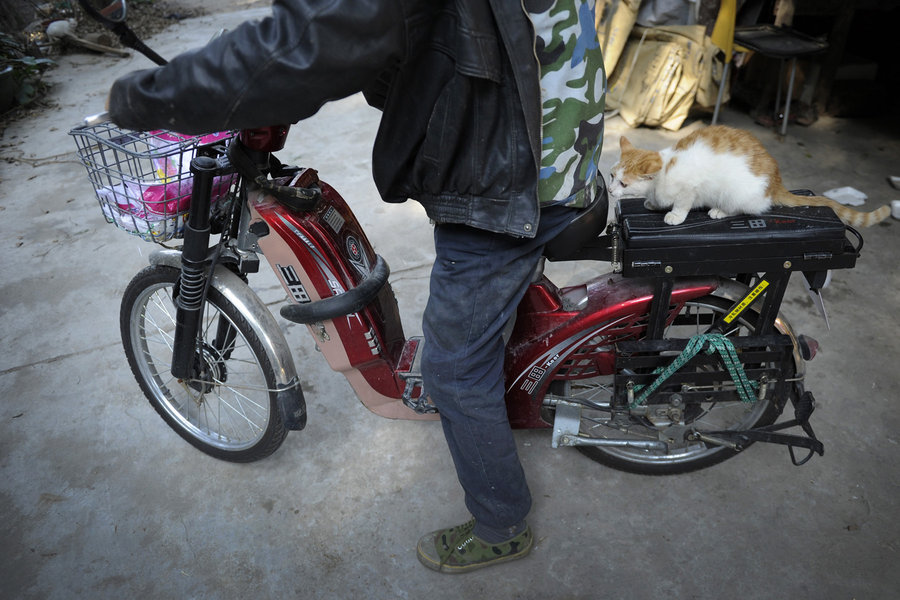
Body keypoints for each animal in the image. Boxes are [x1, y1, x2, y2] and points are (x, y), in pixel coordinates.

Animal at [608, 125, 888, 229]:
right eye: (611, 176)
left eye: (623, 183)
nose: (610, 191)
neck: (666, 169)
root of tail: (775, 182)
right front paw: (653, 203)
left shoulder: (690, 188)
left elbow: (682, 203)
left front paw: (675, 215)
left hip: (736, 192)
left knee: (746, 208)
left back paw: (720, 211)